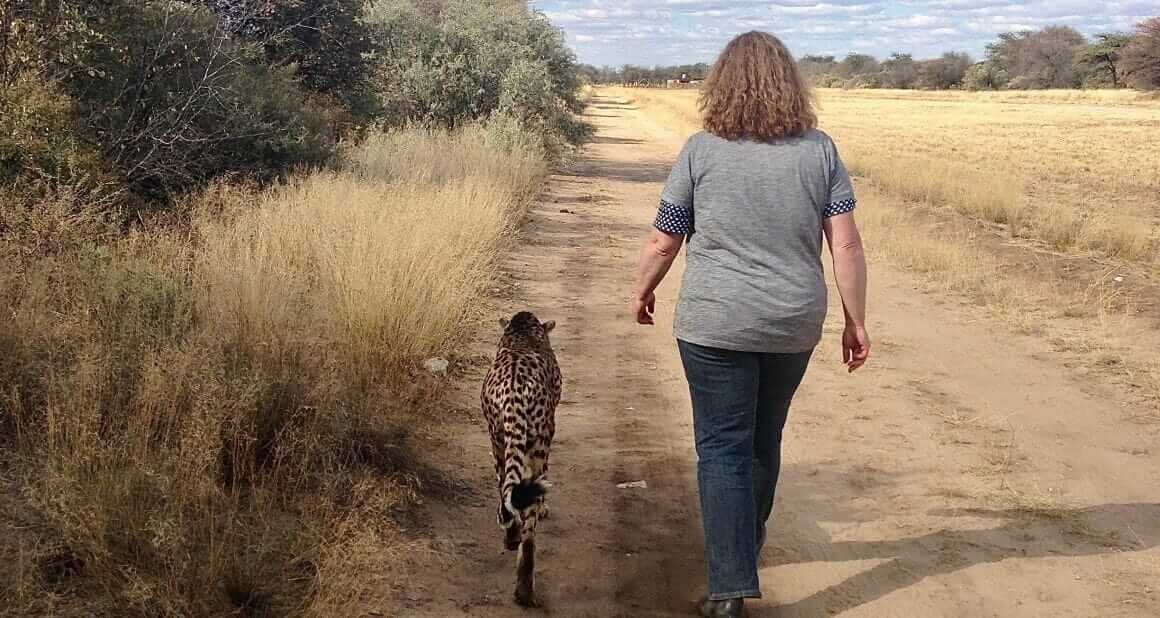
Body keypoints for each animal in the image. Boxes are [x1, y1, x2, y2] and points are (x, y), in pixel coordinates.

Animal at [480, 310, 561, 602]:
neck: (522, 332)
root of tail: (514, 391)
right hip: (538, 442)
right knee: (530, 526)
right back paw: (524, 583)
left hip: (498, 439)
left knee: (506, 488)